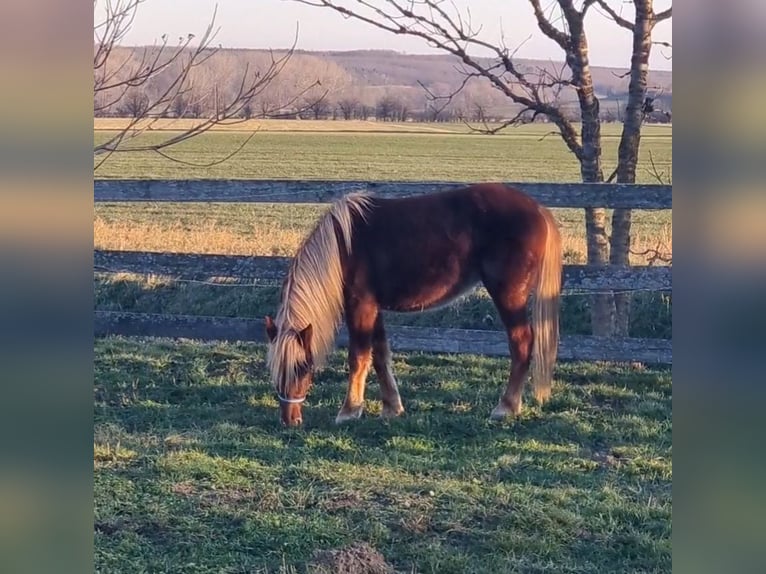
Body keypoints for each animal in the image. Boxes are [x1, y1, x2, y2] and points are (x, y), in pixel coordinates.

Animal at [266, 184, 564, 428]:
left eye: (303, 367)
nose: (290, 421)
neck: (342, 249)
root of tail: (537, 209)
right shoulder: (374, 308)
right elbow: (380, 355)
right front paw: (391, 408)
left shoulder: (360, 306)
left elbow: (358, 357)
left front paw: (349, 411)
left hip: (508, 296)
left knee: (522, 343)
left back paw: (506, 407)